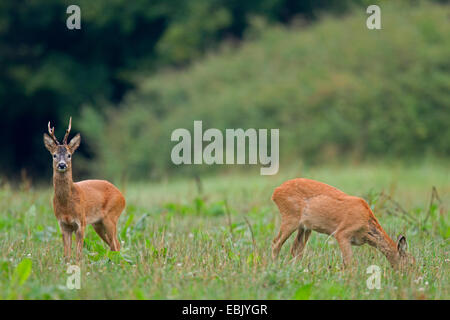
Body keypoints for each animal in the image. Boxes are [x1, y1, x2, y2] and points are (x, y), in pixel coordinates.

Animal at [44, 117, 125, 260]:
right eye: (54, 155)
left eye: (69, 155)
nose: (62, 165)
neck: (66, 204)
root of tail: (122, 197)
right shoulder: (63, 224)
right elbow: (66, 254)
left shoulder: (81, 222)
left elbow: (78, 253)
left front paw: (78, 263)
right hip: (98, 224)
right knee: (115, 245)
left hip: (111, 217)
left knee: (115, 245)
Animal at [270, 179, 414, 268]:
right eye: (411, 263)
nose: (411, 276)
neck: (367, 226)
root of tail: (275, 192)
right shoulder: (342, 233)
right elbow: (349, 262)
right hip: (290, 218)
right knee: (276, 243)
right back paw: (275, 267)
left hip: (305, 227)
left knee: (296, 249)